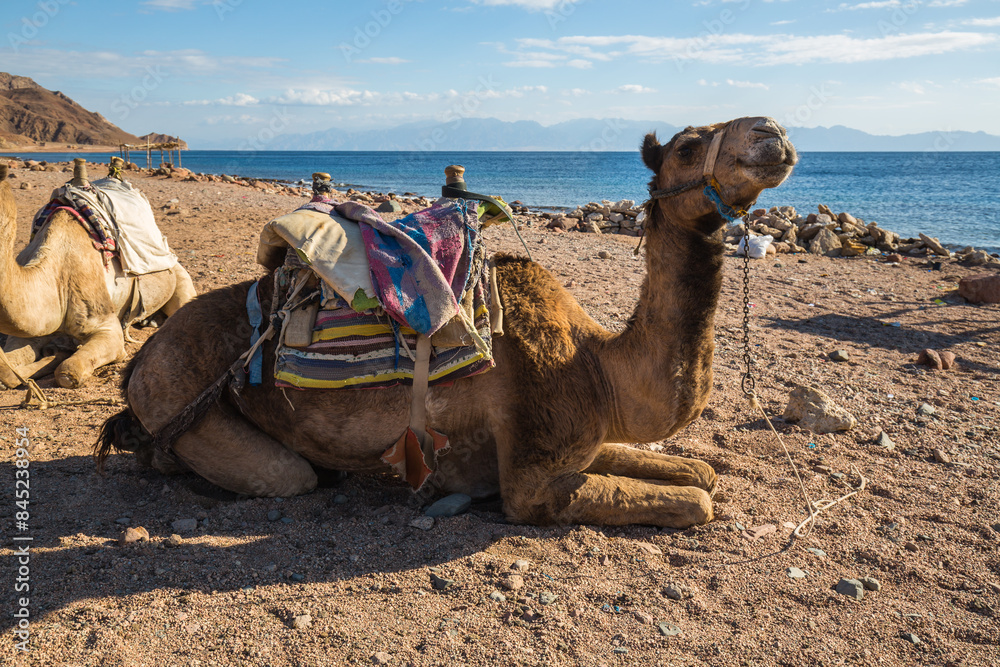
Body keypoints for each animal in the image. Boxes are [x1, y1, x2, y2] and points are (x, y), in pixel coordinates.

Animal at [0, 159, 196, 388]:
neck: (55, 279)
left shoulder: (106, 325)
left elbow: (67, 372)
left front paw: (58, 355)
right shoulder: (30, 329)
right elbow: (7, 367)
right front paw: (53, 351)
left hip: (179, 276)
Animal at [98, 116, 797, 528]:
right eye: (688, 145)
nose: (772, 132)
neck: (599, 365)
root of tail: (140, 361)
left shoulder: (585, 439)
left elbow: (699, 472)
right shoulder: (533, 475)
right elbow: (696, 499)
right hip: (182, 396)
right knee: (283, 474)